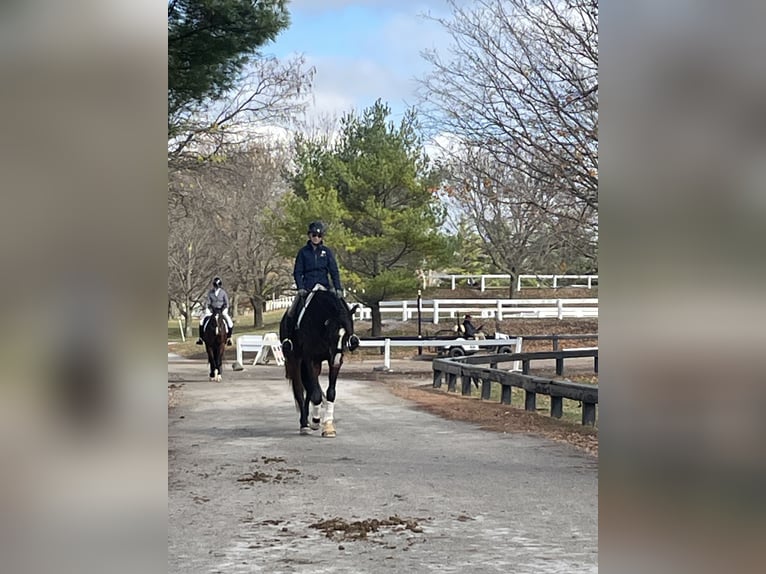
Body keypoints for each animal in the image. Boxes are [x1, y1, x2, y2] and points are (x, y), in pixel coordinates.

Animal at [280, 288, 362, 440]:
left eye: (347, 334)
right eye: (331, 334)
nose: (337, 359)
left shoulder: (331, 362)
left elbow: (330, 393)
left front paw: (328, 426)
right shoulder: (310, 359)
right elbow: (316, 394)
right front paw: (315, 422)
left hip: (317, 364)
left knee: (310, 389)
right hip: (295, 360)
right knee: (300, 389)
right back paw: (304, 424)